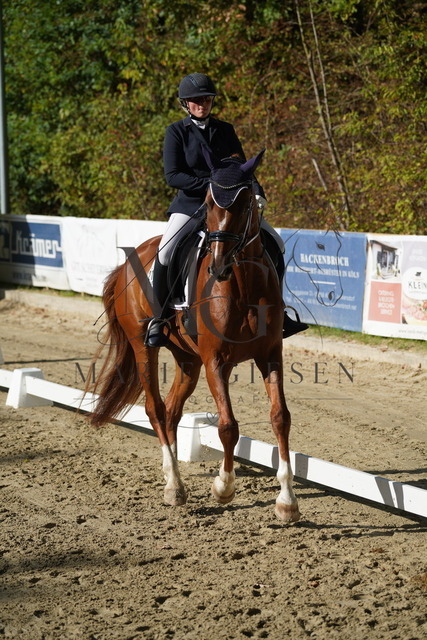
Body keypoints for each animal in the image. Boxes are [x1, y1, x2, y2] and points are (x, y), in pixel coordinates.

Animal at [87, 149, 300, 523]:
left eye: (244, 203)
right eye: (208, 204)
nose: (218, 266)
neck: (243, 283)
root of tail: (127, 264)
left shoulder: (269, 354)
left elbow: (280, 418)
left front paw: (287, 502)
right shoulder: (215, 359)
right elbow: (228, 425)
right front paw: (223, 487)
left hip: (188, 359)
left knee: (172, 410)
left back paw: (172, 476)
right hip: (144, 347)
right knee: (156, 409)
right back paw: (174, 486)